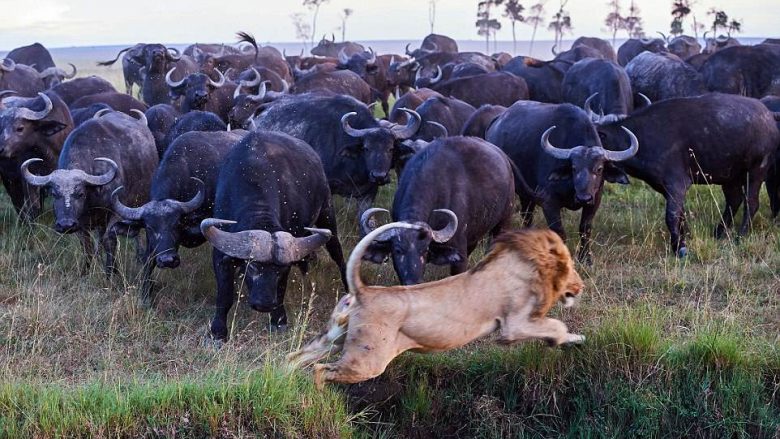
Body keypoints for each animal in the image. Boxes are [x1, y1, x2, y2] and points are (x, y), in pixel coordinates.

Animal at [286, 223, 584, 388]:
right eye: (571, 266)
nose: (581, 286)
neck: (528, 262)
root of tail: (363, 290)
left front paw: (576, 340)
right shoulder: (514, 325)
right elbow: (556, 326)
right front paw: (572, 339)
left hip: (334, 339)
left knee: (295, 357)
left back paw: (285, 380)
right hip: (368, 361)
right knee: (320, 371)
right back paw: (321, 399)